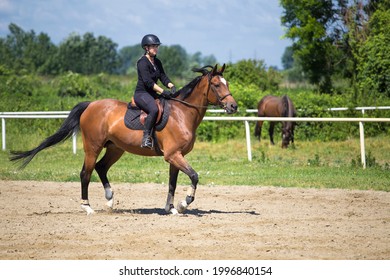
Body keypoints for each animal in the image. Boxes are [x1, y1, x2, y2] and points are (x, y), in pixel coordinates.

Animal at [9, 64, 238, 215]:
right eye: (216, 85)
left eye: (226, 83)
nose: (233, 106)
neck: (182, 114)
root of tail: (91, 105)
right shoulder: (173, 155)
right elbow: (194, 176)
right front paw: (184, 203)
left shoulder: (175, 157)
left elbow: (173, 182)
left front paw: (171, 208)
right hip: (92, 147)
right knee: (86, 173)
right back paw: (87, 207)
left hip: (115, 148)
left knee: (101, 167)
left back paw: (110, 201)